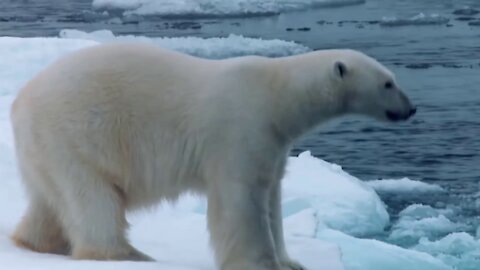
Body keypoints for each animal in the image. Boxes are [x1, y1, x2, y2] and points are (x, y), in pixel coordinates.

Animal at [11, 43, 416, 270]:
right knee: (93, 197)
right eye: (388, 83)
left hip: (46, 148)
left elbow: (272, 198)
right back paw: (126, 254)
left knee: (52, 200)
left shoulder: (273, 143)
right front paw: (261, 263)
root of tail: (19, 102)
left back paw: (36, 242)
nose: (410, 109)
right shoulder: (241, 129)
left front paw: (291, 261)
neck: (276, 95)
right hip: (76, 132)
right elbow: (241, 201)